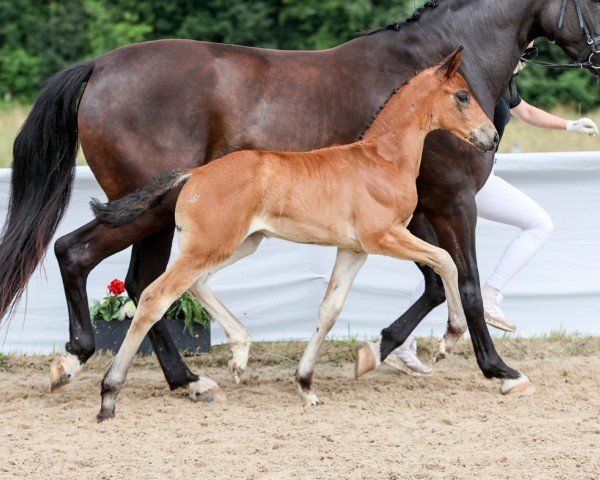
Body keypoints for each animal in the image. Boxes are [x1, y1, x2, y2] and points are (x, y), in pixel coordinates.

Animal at [95, 47, 496, 418]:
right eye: (463, 96)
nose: (491, 137)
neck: (381, 160)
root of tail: (194, 173)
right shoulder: (384, 237)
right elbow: (446, 261)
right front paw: (449, 340)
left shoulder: (354, 250)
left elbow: (329, 309)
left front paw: (305, 385)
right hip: (211, 247)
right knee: (155, 297)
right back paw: (110, 396)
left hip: (237, 245)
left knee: (196, 284)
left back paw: (239, 354)